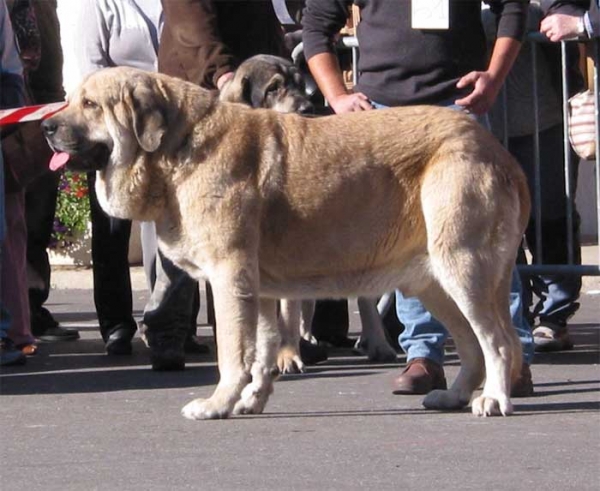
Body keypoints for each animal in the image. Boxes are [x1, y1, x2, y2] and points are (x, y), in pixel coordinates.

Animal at [42, 66, 528, 418]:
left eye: (90, 104)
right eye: (70, 98)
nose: (46, 127)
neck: (176, 148)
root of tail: (498, 150)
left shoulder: (229, 278)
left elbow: (233, 353)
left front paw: (218, 404)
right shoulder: (258, 290)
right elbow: (262, 350)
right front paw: (252, 399)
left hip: (463, 268)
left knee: (499, 341)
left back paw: (494, 399)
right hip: (432, 283)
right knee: (473, 345)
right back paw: (455, 396)